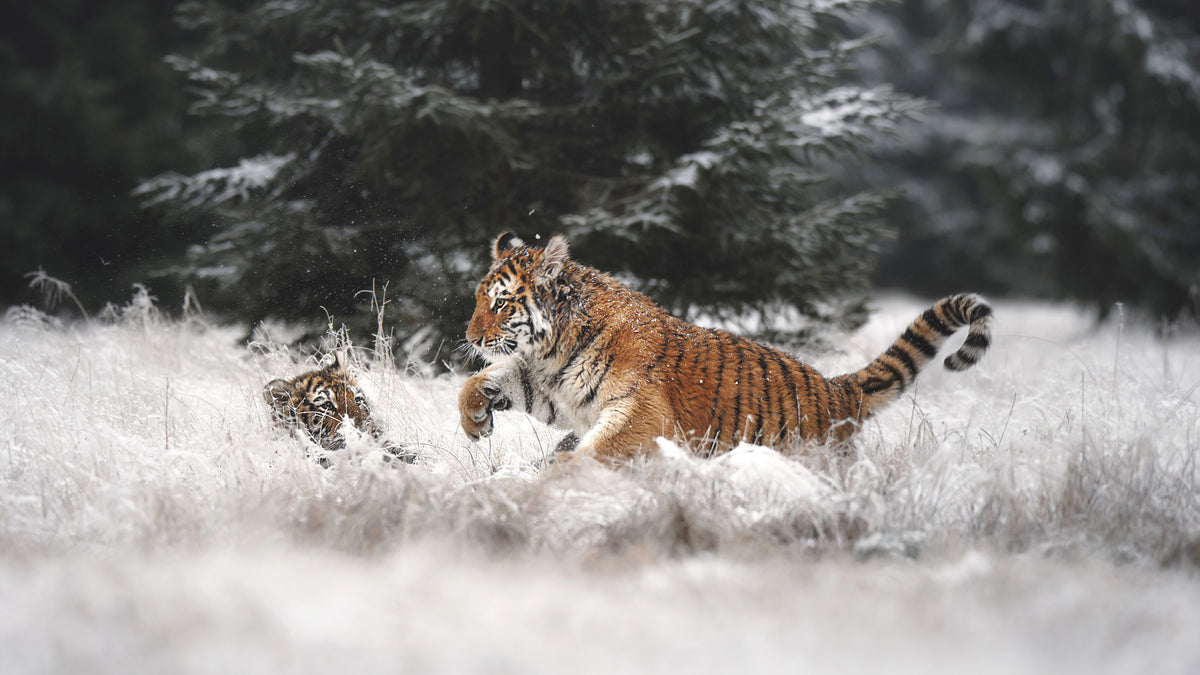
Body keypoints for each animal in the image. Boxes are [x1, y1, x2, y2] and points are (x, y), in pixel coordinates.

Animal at [458, 232, 993, 464]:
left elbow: (601, 446)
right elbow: (484, 380)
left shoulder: (640, 410)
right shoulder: (551, 386)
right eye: (479, 298)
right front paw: (475, 421)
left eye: (501, 304)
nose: (470, 338)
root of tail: (841, 389)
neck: (554, 348)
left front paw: (560, 472)